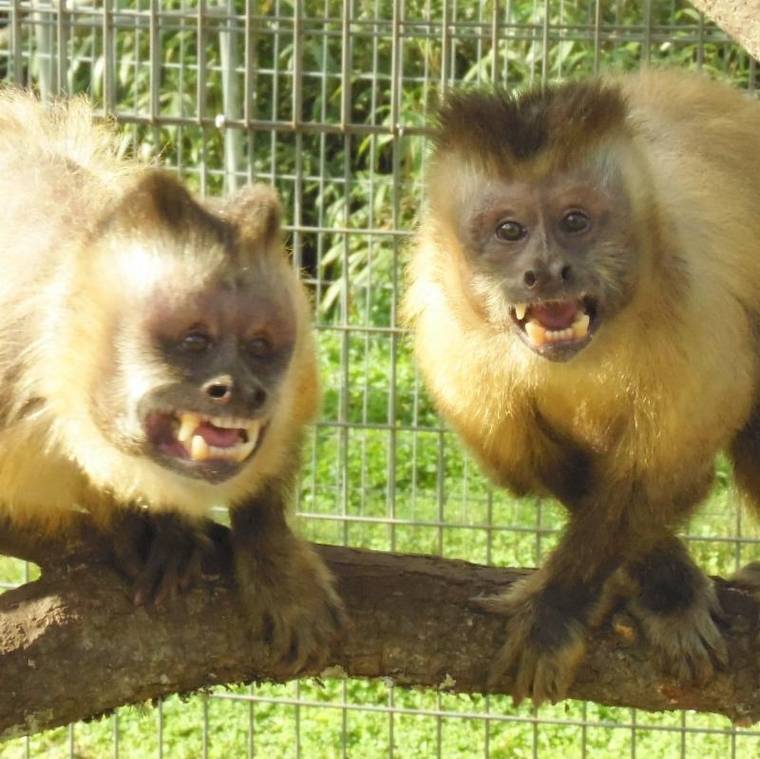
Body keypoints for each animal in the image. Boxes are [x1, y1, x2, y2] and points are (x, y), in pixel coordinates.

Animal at [403, 69, 760, 705]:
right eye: (510, 230)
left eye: (575, 221)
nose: (546, 270)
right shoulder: (451, 346)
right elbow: (553, 471)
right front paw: (665, 585)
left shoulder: (697, 304)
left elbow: (657, 479)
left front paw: (558, 610)